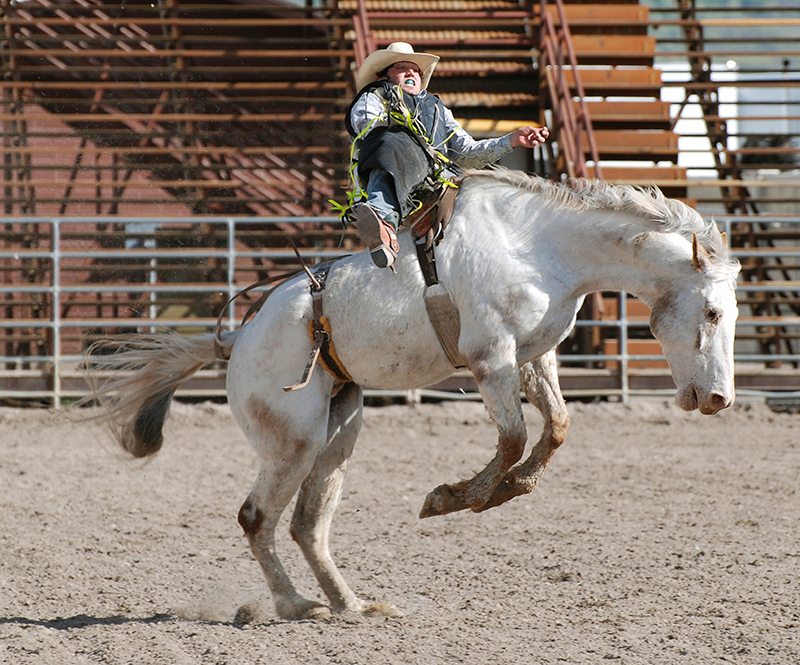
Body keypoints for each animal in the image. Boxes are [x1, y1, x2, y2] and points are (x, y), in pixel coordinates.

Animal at [84, 169, 740, 620]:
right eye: (711, 311)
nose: (719, 400)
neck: (538, 247)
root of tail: (234, 339)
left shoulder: (534, 357)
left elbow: (555, 428)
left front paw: (510, 488)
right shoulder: (491, 358)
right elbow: (512, 437)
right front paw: (453, 498)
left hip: (339, 430)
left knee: (306, 525)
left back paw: (352, 606)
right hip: (292, 441)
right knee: (257, 517)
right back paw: (297, 606)